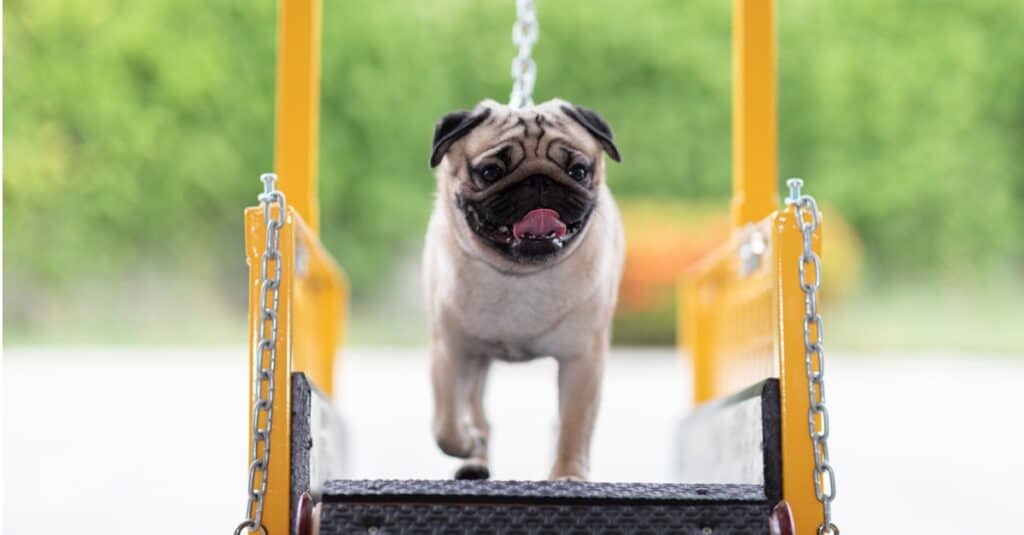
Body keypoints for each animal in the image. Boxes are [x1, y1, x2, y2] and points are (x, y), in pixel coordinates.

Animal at [421, 96, 622, 479]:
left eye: (578, 171)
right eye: (490, 172)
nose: (539, 180)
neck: (518, 276)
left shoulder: (582, 361)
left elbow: (573, 425)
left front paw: (569, 474)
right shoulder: (451, 352)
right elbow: (445, 427)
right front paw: (467, 444)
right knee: (478, 415)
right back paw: (475, 459)